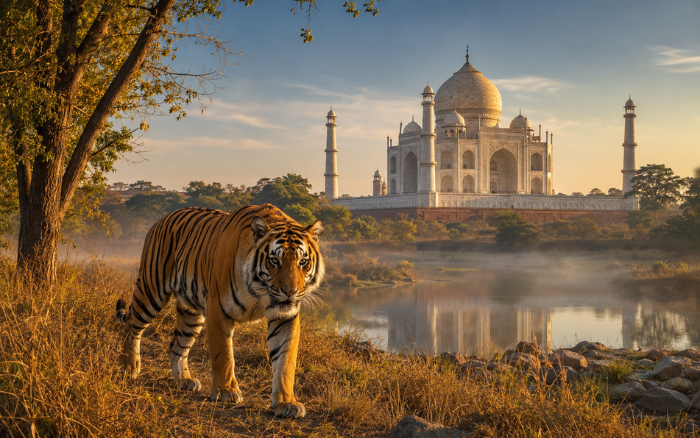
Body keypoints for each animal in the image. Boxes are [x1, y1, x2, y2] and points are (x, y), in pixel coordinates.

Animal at [115, 204, 324, 418]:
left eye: (302, 262)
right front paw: (226, 391)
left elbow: (285, 361)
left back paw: (184, 380)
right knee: (132, 326)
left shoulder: (285, 317)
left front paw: (286, 402)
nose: (290, 292)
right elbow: (223, 354)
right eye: (274, 261)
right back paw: (128, 366)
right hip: (150, 292)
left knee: (176, 345)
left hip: (191, 314)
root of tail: (162, 219)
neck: (261, 290)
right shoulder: (217, 309)